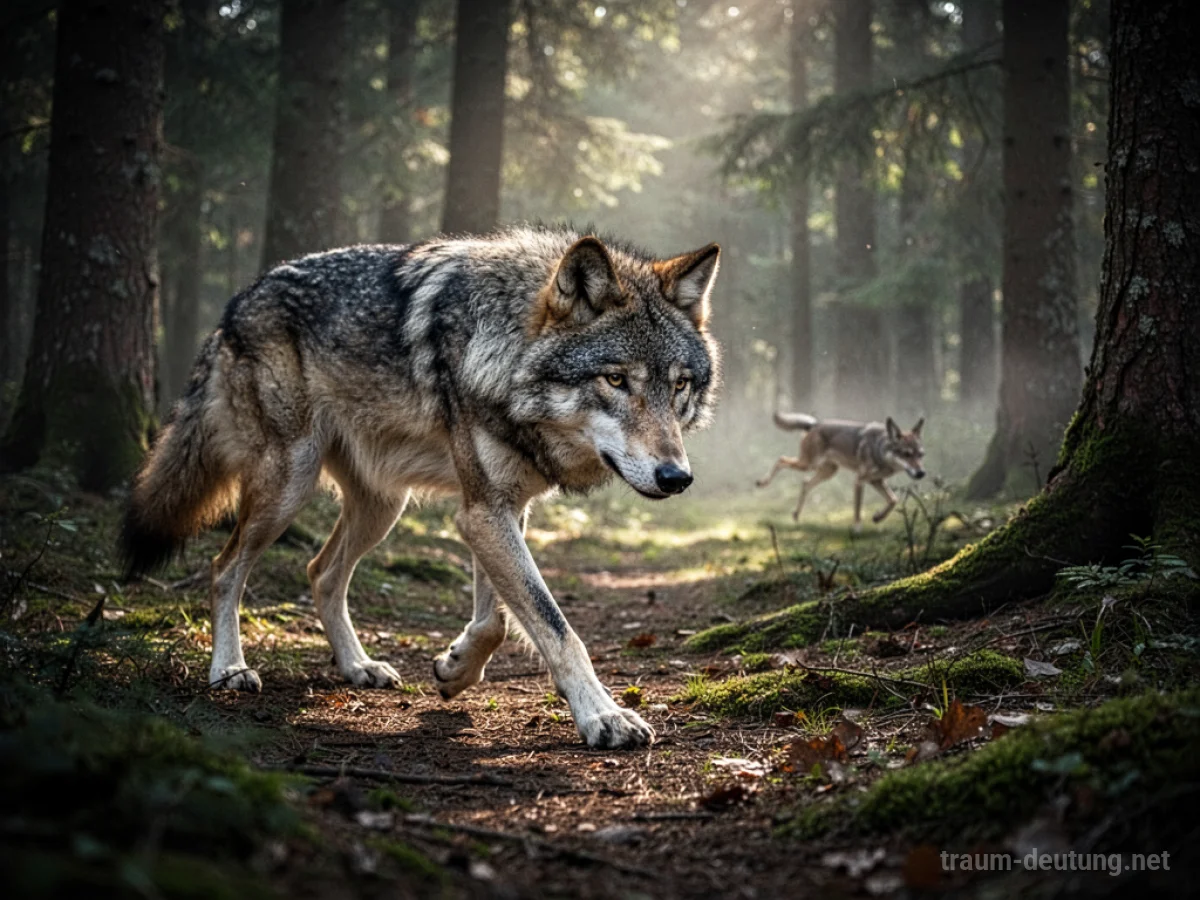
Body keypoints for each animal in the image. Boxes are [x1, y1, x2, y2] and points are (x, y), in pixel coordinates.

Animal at [120, 226, 720, 750]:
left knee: (320, 572)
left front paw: (456, 669)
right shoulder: (484, 512)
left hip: (383, 506)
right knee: (225, 568)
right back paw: (229, 669)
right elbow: (555, 626)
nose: (677, 477)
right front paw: (603, 716)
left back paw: (358, 666)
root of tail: (238, 301)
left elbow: (497, 620)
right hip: (288, 485)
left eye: (680, 386)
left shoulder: (498, 509)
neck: (502, 347)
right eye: (615, 379)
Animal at [756, 412, 926, 530]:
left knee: (805, 483)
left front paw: (878, 517)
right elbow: (857, 509)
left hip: (828, 472)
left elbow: (893, 500)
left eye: (920, 455)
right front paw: (857, 529)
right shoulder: (859, 480)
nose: (921, 473)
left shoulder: (876, 480)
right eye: (906, 454)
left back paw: (796, 515)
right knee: (781, 460)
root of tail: (815, 424)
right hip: (808, 465)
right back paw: (762, 483)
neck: (879, 450)